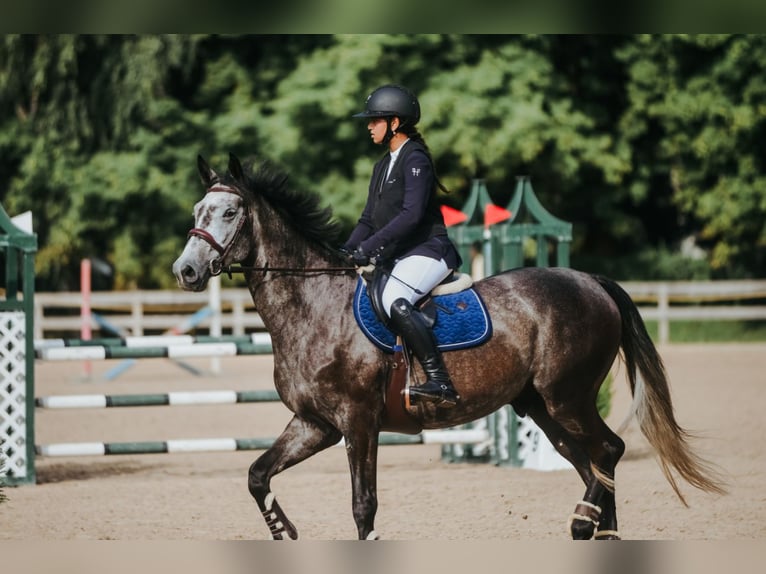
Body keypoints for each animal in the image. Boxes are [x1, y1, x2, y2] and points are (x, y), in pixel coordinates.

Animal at [172, 153, 725, 540]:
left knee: (608, 450)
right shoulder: (315, 424)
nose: (187, 271)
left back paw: (581, 521)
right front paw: (284, 529)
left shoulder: (358, 421)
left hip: (567, 396)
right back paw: (597, 529)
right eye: (198, 209)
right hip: (542, 406)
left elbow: (363, 504)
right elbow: (257, 475)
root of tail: (590, 280)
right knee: (591, 459)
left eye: (229, 212)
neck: (313, 307)